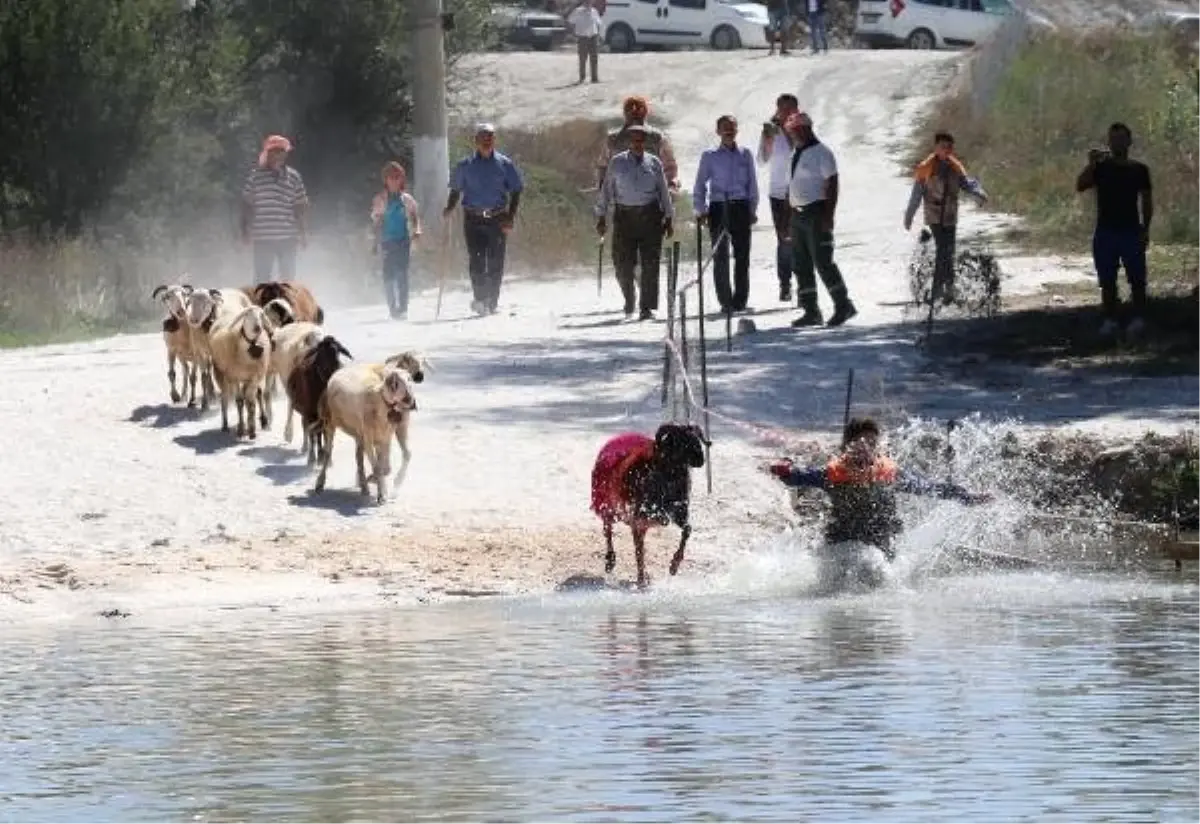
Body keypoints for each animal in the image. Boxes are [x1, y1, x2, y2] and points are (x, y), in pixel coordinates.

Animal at [207, 304, 273, 438]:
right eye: (247, 315)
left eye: (262, 314)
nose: (258, 328)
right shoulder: (234, 377)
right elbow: (239, 402)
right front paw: (241, 429)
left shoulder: (254, 377)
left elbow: (251, 402)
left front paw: (252, 430)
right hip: (220, 374)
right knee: (224, 398)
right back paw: (225, 425)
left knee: (257, 394)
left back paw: (262, 420)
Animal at [314, 367, 417, 506]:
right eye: (397, 383)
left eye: (410, 379)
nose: (413, 403)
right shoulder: (369, 438)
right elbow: (378, 467)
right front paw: (381, 494)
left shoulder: (385, 437)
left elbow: (386, 467)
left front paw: (375, 482)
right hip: (330, 423)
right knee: (328, 453)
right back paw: (320, 484)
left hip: (362, 434)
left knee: (360, 457)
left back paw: (364, 485)